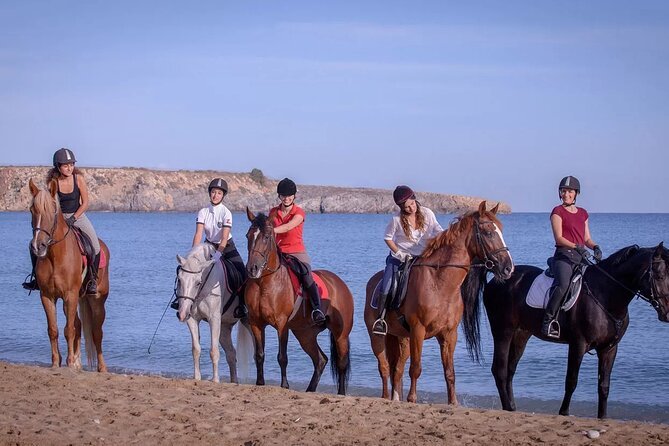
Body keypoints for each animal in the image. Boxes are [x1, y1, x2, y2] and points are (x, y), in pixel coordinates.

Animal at [28, 178, 111, 372]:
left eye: (52, 210)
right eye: (32, 210)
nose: (38, 246)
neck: (55, 255)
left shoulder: (69, 295)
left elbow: (68, 330)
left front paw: (70, 362)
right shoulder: (47, 296)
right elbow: (54, 329)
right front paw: (56, 362)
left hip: (96, 301)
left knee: (96, 332)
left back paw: (101, 367)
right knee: (79, 325)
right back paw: (77, 362)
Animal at [174, 243, 254, 383]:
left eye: (198, 283)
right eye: (179, 280)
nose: (182, 314)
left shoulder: (214, 319)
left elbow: (214, 351)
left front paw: (215, 380)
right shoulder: (192, 319)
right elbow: (196, 349)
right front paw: (197, 378)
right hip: (224, 328)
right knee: (231, 353)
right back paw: (234, 382)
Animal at [244, 208, 354, 394]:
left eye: (266, 236)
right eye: (248, 235)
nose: (252, 269)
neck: (263, 283)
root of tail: (340, 284)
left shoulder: (282, 324)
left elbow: (282, 357)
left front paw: (285, 385)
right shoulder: (255, 323)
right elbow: (259, 355)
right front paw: (260, 383)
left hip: (341, 334)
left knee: (341, 363)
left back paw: (341, 393)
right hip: (305, 334)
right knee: (320, 360)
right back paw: (310, 390)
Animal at [364, 201, 514, 404]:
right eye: (488, 232)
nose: (508, 268)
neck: (439, 282)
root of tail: (373, 281)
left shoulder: (449, 334)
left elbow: (449, 372)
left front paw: (453, 402)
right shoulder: (418, 331)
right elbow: (416, 368)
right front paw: (412, 399)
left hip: (402, 338)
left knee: (397, 369)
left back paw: (395, 398)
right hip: (377, 337)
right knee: (385, 367)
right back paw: (386, 397)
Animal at [481, 242, 669, 419]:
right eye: (660, 276)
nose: (667, 313)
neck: (605, 295)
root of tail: (497, 280)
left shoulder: (609, 349)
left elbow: (604, 385)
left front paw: (603, 417)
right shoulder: (578, 344)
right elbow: (571, 381)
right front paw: (564, 412)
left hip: (521, 335)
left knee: (510, 370)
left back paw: (512, 408)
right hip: (503, 332)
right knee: (499, 370)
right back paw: (507, 407)